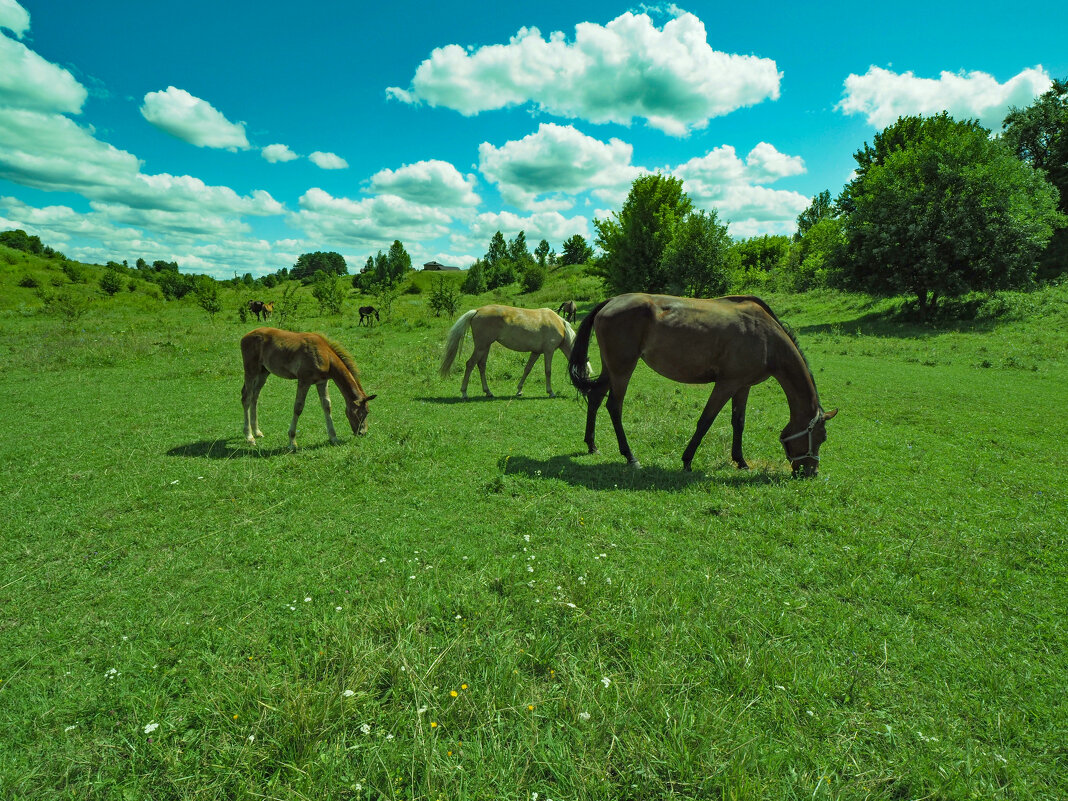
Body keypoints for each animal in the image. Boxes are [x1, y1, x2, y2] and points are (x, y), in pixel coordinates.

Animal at [241, 326, 375, 452]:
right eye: (364, 412)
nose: (362, 433)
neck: (325, 355)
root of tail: (245, 336)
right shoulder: (304, 381)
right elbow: (298, 408)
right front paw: (292, 442)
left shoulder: (322, 382)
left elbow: (327, 406)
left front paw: (333, 437)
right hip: (251, 370)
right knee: (246, 398)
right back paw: (249, 437)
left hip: (264, 372)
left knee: (255, 396)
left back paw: (257, 431)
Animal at [440, 303, 585, 399]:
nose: (586, 392)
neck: (560, 326)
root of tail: (477, 311)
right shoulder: (548, 351)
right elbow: (548, 371)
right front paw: (550, 392)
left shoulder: (536, 352)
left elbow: (527, 369)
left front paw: (519, 390)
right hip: (481, 346)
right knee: (470, 364)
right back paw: (464, 393)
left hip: (485, 346)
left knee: (481, 365)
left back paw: (488, 392)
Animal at [572, 292, 837, 476]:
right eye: (821, 437)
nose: (811, 473)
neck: (766, 337)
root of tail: (611, 301)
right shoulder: (726, 384)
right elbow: (706, 421)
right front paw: (687, 460)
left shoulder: (743, 386)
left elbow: (738, 422)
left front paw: (741, 461)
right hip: (622, 370)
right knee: (614, 407)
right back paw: (630, 456)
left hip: (612, 369)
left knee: (595, 397)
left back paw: (592, 445)